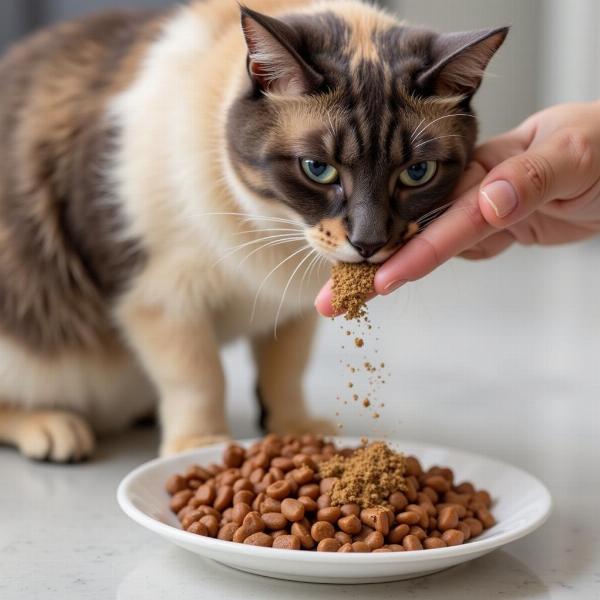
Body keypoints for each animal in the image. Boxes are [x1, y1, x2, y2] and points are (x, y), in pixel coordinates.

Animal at [0, 0, 508, 462]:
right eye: (318, 169)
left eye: (417, 173)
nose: (368, 243)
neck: (276, 231)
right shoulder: (161, 297)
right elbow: (199, 376)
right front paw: (200, 446)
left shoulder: (295, 308)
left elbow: (285, 370)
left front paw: (297, 431)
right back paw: (52, 427)